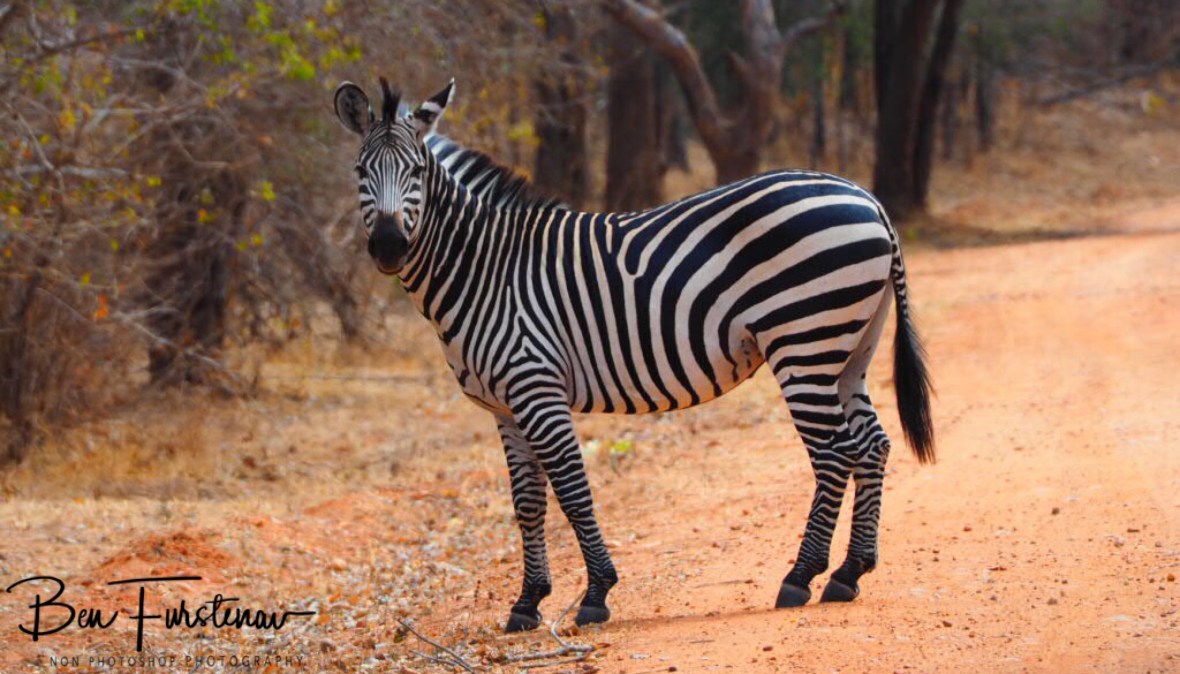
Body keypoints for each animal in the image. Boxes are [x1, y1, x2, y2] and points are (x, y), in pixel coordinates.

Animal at [333, 78, 934, 632]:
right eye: (360, 172)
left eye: (417, 172)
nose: (388, 246)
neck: (485, 267)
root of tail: (866, 198)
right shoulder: (505, 407)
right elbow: (527, 503)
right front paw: (526, 603)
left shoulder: (536, 386)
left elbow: (572, 489)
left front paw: (597, 593)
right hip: (848, 350)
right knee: (873, 444)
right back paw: (849, 573)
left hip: (805, 342)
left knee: (834, 453)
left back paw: (801, 576)